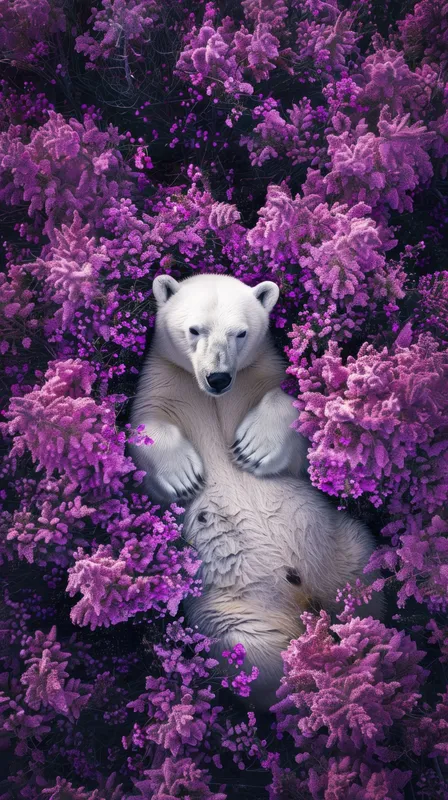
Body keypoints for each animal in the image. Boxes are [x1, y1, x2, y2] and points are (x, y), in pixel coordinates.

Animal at [129, 273, 382, 711]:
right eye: (195, 329)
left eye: (240, 332)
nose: (218, 378)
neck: (210, 398)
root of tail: (308, 599)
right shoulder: (161, 387)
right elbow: (139, 437)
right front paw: (184, 474)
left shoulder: (260, 375)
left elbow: (301, 413)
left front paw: (252, 447)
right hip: (232, 610)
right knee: (254, 655)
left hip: (346, 547)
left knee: (371, 586)